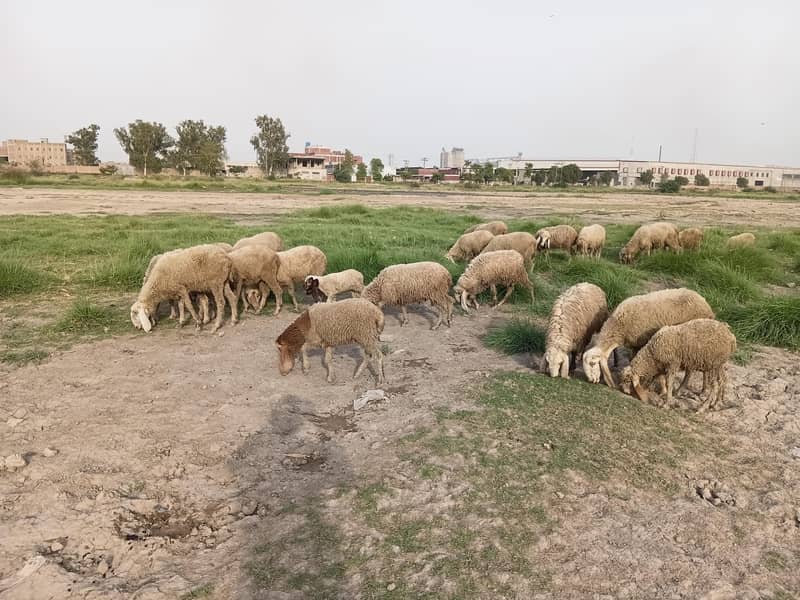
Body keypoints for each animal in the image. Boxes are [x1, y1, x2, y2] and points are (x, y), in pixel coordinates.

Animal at [581, 287, 715, 388]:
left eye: (592, 363)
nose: (592, 381)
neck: (619, 327)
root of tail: (706, 304)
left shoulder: (643, 341)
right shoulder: (635, 344)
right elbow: (632, 360)